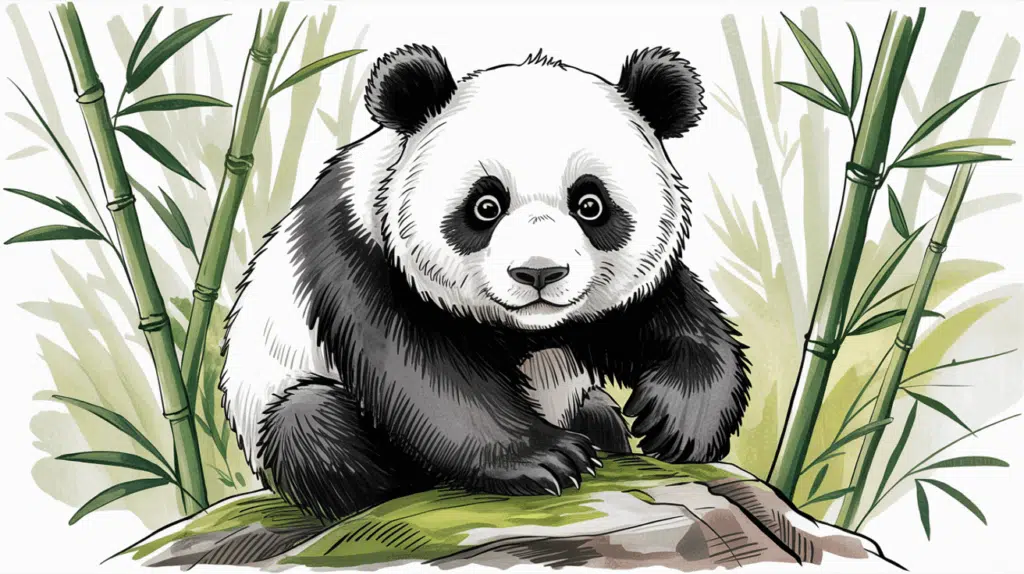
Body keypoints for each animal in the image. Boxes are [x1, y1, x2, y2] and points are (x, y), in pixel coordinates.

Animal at [220, 45, 751, 521]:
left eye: (591, 204)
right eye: (486, 206)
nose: (539, 273)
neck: (528, 328)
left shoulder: (624, 298)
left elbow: (678, 320)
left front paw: (678, 422)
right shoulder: (360, 250)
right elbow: (426, 375)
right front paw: (548, 459)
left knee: (598, 409)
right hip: (272, 404)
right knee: (312, 424)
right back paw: (400, 482)